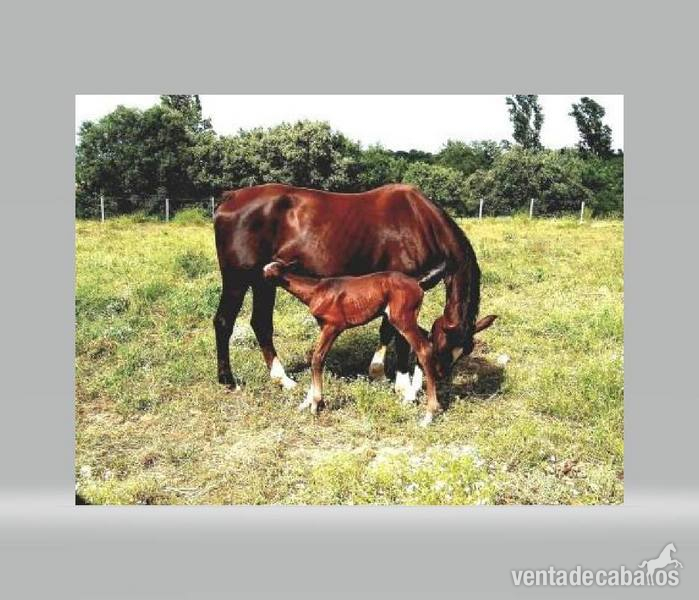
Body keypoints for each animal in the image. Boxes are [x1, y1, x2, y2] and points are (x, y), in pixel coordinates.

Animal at [213, 183, 494, 395]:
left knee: (261, 324)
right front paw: (402, 384)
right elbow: (399, 334)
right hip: (238, 279)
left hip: (264, 280)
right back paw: (228, 380)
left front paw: (378, 372)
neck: (419, 220)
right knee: (224, 322)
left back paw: (282, 379)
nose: (440, 376)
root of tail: (230, 198)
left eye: (465, 351)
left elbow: (387, 330)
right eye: (444, 346)